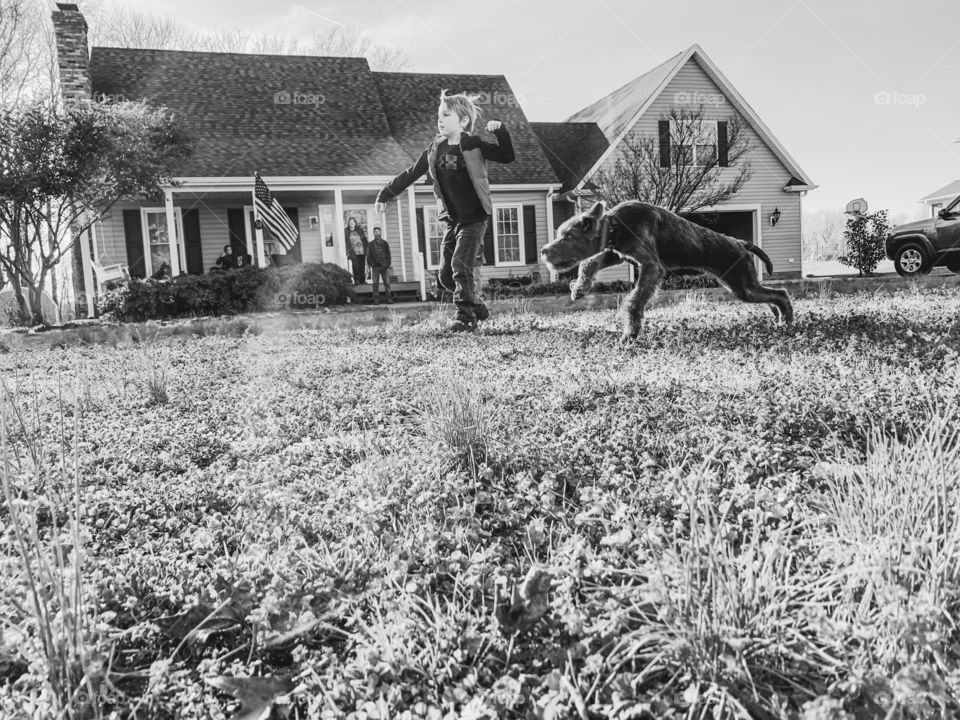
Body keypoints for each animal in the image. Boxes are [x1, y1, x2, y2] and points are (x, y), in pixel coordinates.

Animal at [540, 200, 796, 340]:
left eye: (567, 236)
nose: (543, 251)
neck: (617, 226)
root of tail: (741, 242)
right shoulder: (616, 253)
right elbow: (589, 263)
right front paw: (579, 289)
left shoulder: (651, 266)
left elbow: (634, 301)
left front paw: (630, 333)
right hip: (739, 285)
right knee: (773, 296)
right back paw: (778, 318)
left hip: (742, 283)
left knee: (782, 293)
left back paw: (787, 321)